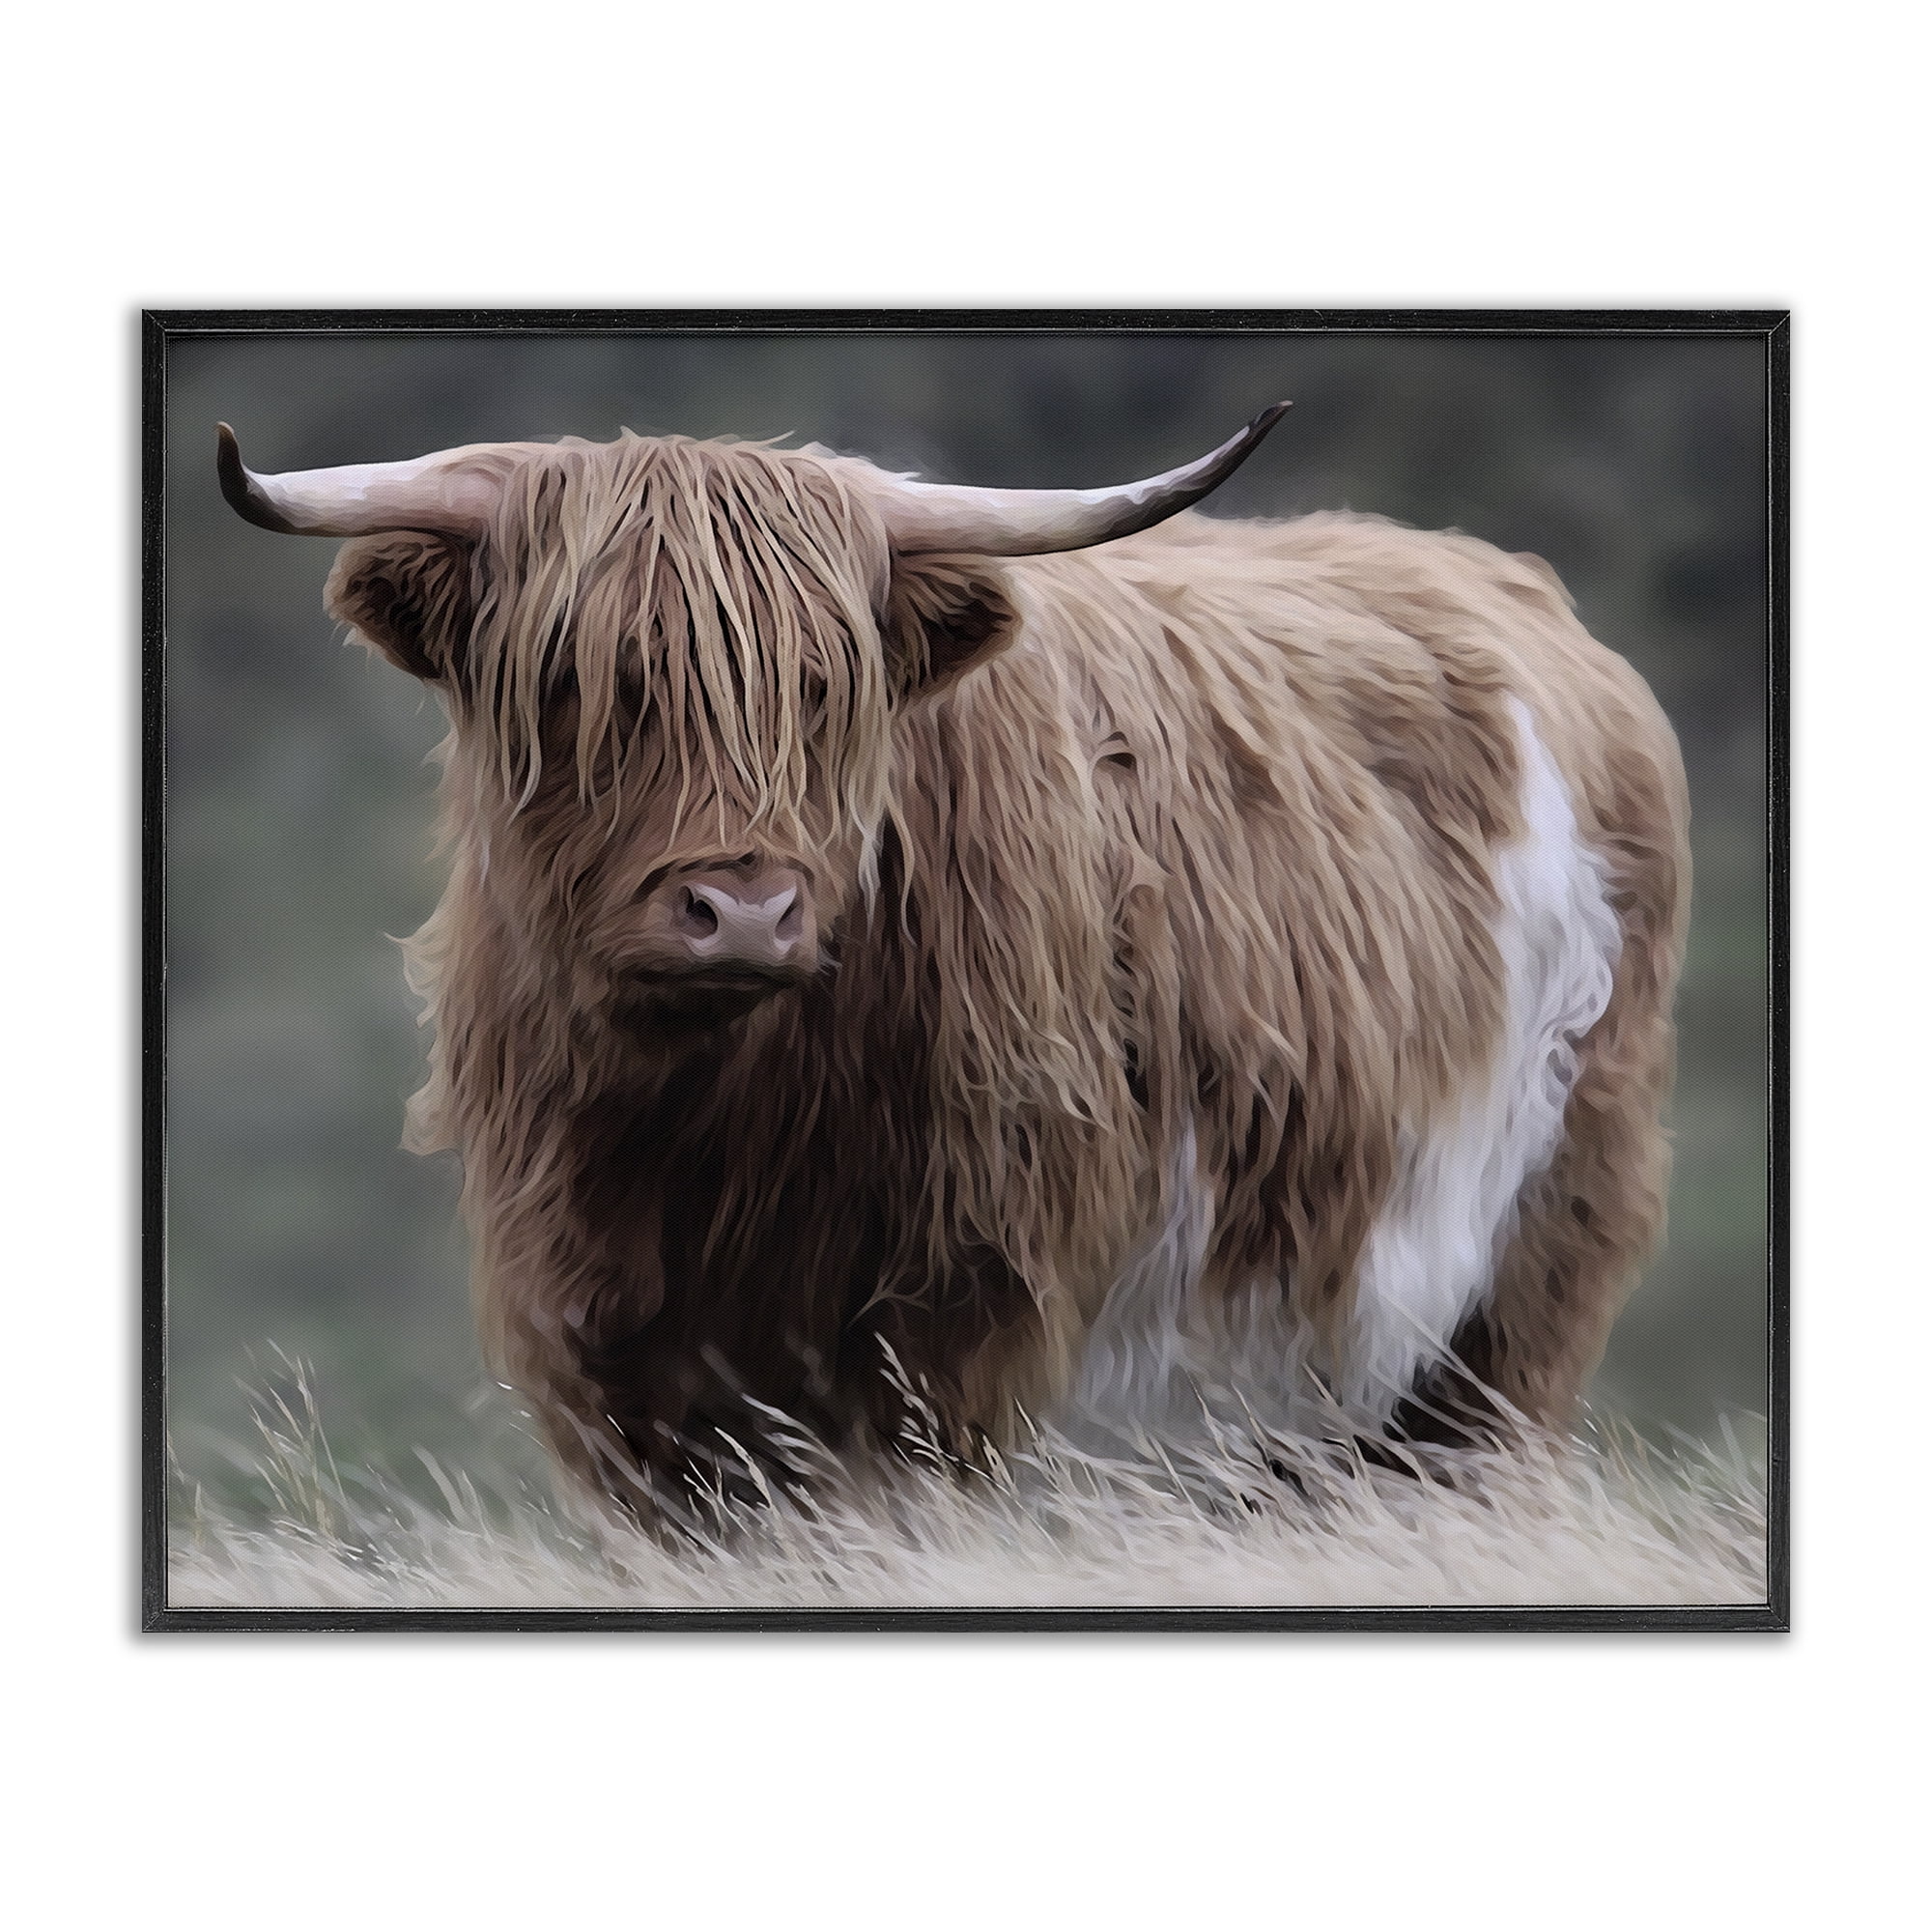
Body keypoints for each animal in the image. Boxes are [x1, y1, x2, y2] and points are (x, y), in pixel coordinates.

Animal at [216, 408, 1688, 1511]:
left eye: (826, 688)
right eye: (584, 681)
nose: (742, 909)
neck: (708, 1131)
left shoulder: (955, 1333)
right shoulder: (612, 1357)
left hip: (1513, 1292)